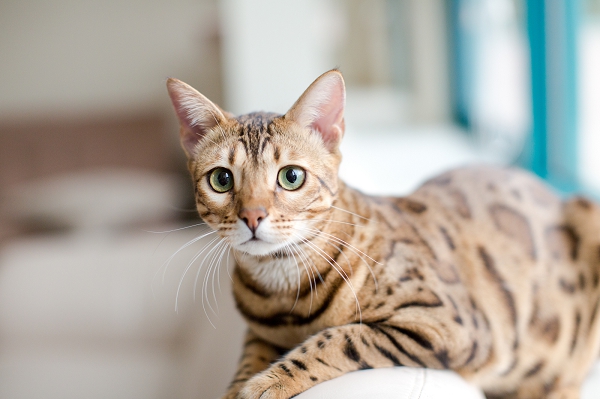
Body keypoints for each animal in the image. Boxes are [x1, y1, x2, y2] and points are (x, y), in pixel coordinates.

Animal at [165, 70, 600, 398]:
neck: (282, 290)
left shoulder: (449, 323)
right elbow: (246, 361)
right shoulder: (258, 335)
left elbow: (339, 338)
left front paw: (270, 381)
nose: (252, 216)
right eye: (222, 180)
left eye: (291, 177)